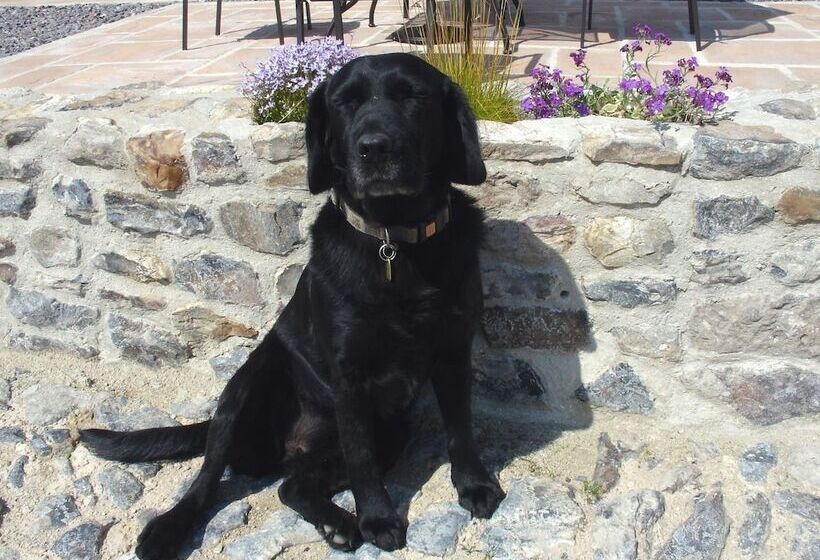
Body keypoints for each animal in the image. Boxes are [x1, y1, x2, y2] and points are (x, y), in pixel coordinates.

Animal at [80, 52, 504, 559]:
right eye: (345, 103)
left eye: (412, 97)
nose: (374, 148)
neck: (393, 242)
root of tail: (292, 446)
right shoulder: (349, 377)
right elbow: (361, 459)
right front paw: (378, 518)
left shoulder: (453, 351)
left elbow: (461, 429)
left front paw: (474, 485)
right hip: (244, 390)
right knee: (206, 482)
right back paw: (168, 529)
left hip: (390, 431)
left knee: (291, 487)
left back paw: (336, 523)